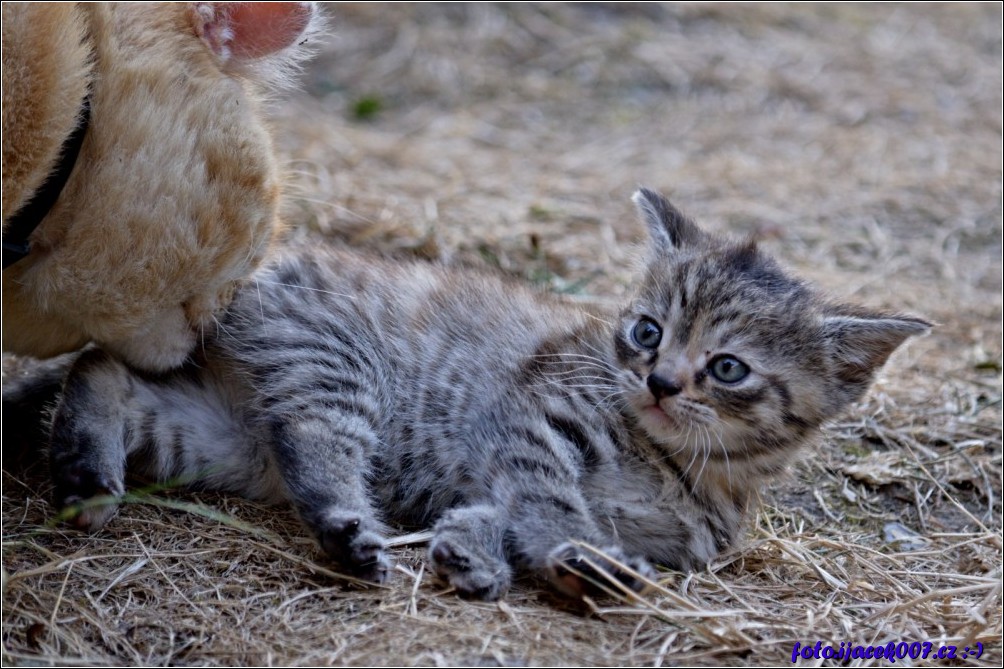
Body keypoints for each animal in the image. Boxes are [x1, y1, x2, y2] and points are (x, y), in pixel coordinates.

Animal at [45, 188, 923, 598]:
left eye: (728, 368)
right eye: (647, 331)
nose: (659, 381)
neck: (673, 462)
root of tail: (249, 266)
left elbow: (499, 509)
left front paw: (471, 548)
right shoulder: (532, 415)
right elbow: (548, 500)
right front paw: (573, 554)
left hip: (219, 438)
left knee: (104, 371)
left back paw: (87, 474)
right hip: (337, 363)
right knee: (316, 441)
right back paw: (347, 528)